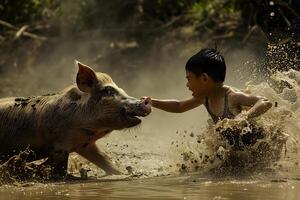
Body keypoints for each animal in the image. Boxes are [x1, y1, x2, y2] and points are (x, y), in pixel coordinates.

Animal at [0, 61, 150, 179]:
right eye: (108, 91)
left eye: (121, 89)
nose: (145, 100)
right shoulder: (60, 145)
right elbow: (59, 169)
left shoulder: (85, 145)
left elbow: (105, 161)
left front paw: (123, 173)